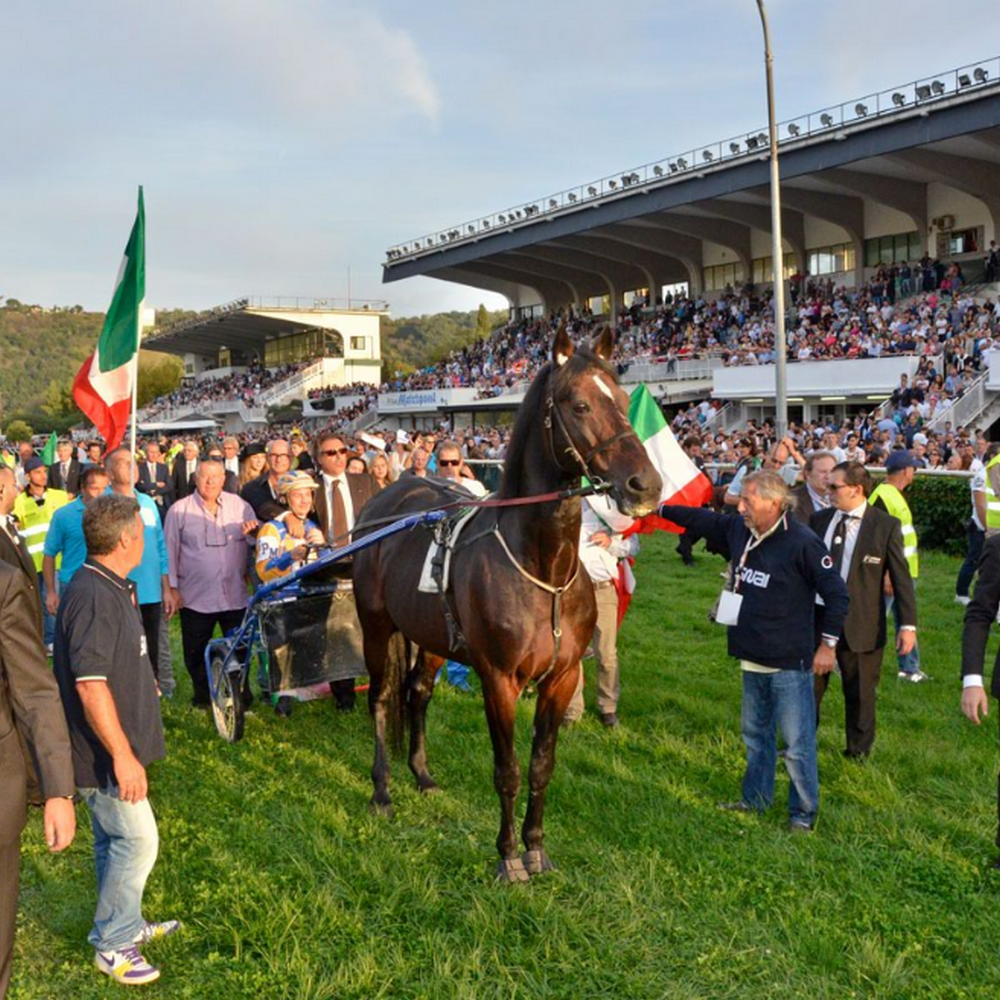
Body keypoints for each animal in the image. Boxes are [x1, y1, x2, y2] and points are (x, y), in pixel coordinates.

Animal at [352, 324, 664, 880]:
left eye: (625, 400)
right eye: (579, 404)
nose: (644, 485)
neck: (542, 567)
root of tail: (384, 502)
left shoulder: (561, 678)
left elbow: (541, 766)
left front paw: (536, 848)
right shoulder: (497, 679)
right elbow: (508, 769)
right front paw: (508, 857)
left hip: (432, 637)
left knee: (417, 693)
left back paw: (422, 775)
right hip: (376, 625)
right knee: (383, 698)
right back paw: (382, 790)